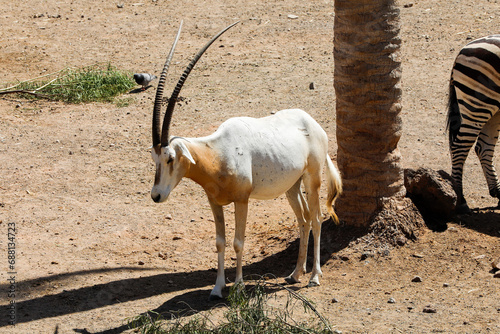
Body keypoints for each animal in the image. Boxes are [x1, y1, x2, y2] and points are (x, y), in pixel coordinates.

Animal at [446, 34, 500, 213]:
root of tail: (464, 48)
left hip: (494, 109)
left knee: (483, 148)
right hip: (479, 103)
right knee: (460, 147)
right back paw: (461, 200)